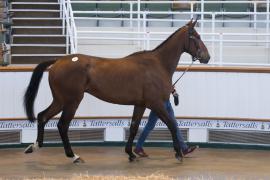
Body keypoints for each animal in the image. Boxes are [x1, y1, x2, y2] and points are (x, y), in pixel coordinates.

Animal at [23, 19, 211, 163]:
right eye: (196, 36)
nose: (207, 57)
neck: (157, 64)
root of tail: (58, 61)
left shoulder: (141, 104)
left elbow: (134, 127)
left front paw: (131, 153)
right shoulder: (156, 104)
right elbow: (171, 124)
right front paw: (178, 153)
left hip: (60, 100)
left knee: (42, 116)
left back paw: (35, 146)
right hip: (72, 101)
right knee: (62, 125)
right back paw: (73, 156)